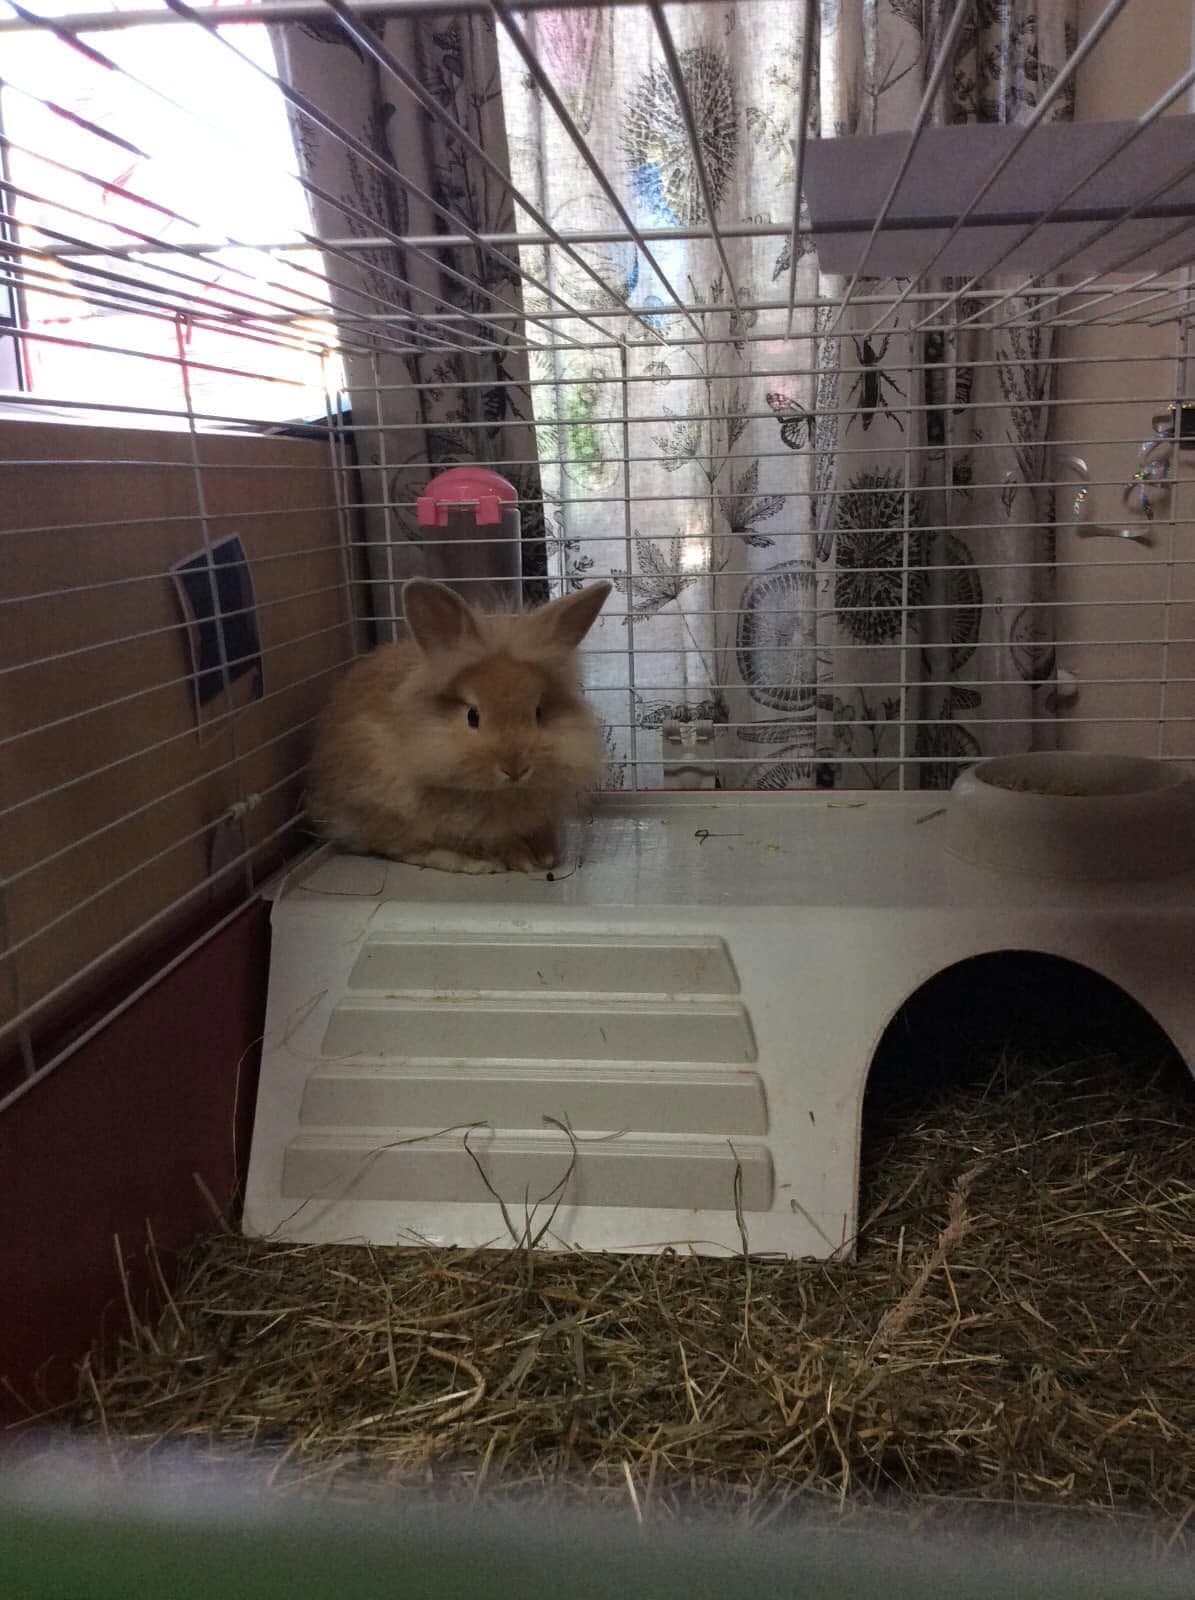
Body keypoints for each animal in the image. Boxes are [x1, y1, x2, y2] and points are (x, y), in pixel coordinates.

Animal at [307, 578, 612, 874]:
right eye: (472, 716)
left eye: (538, 712)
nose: (515, 769)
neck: (504, 793)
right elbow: (497, 842)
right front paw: (520, 860)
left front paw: (547, 855)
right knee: (399, 847)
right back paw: (473, 863)